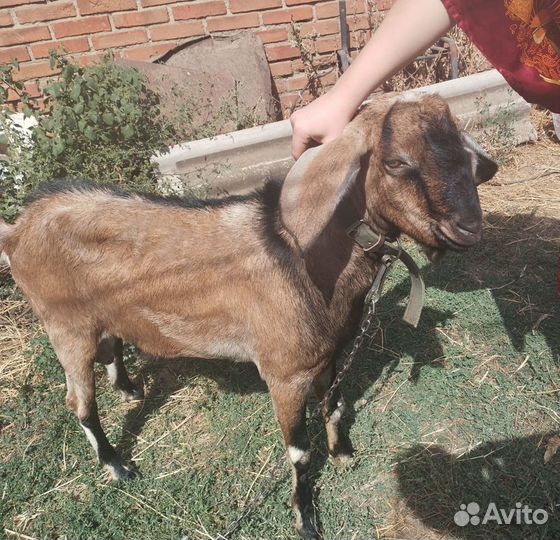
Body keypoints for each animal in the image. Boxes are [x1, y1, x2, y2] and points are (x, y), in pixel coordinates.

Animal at [0, 95, 498, 536]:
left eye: (461, 153)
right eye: (395, 163)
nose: (468, 228)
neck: (309, 258)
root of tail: (18, 228)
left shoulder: (328, 353)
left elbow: (335, 403)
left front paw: (342, 453)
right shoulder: (285, 372)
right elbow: (298, 453)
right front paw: (306, 519)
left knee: (111, 348)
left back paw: (128, 390)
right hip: (65, 326)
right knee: (78, 402)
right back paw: (117, 466)